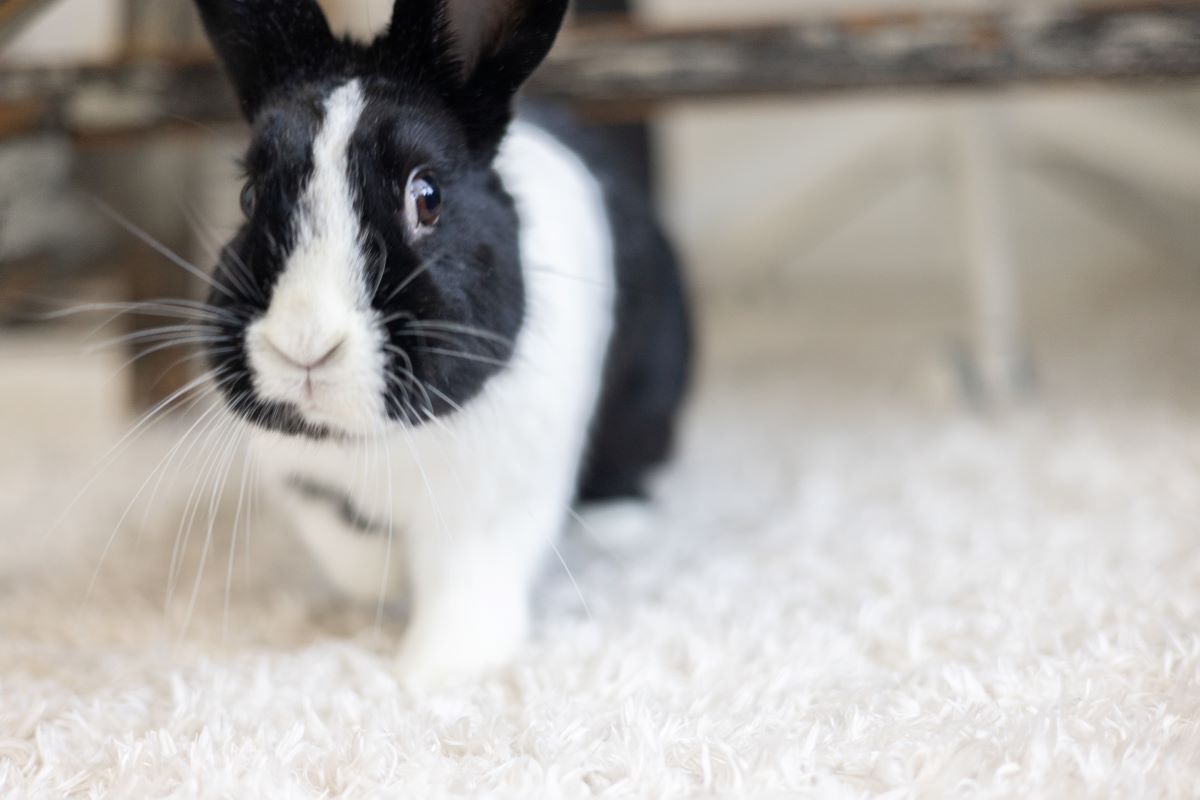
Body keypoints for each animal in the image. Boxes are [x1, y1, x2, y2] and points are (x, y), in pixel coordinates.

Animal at [192, 0, 691, 684]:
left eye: (426, 197)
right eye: (248, 197)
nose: (305, 345)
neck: (375, 443)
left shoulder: (494, 507)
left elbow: (467, 585)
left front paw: (439, 671)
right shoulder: (303, 480)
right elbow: (348, 551)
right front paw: (384, 587)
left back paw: (619, 521)